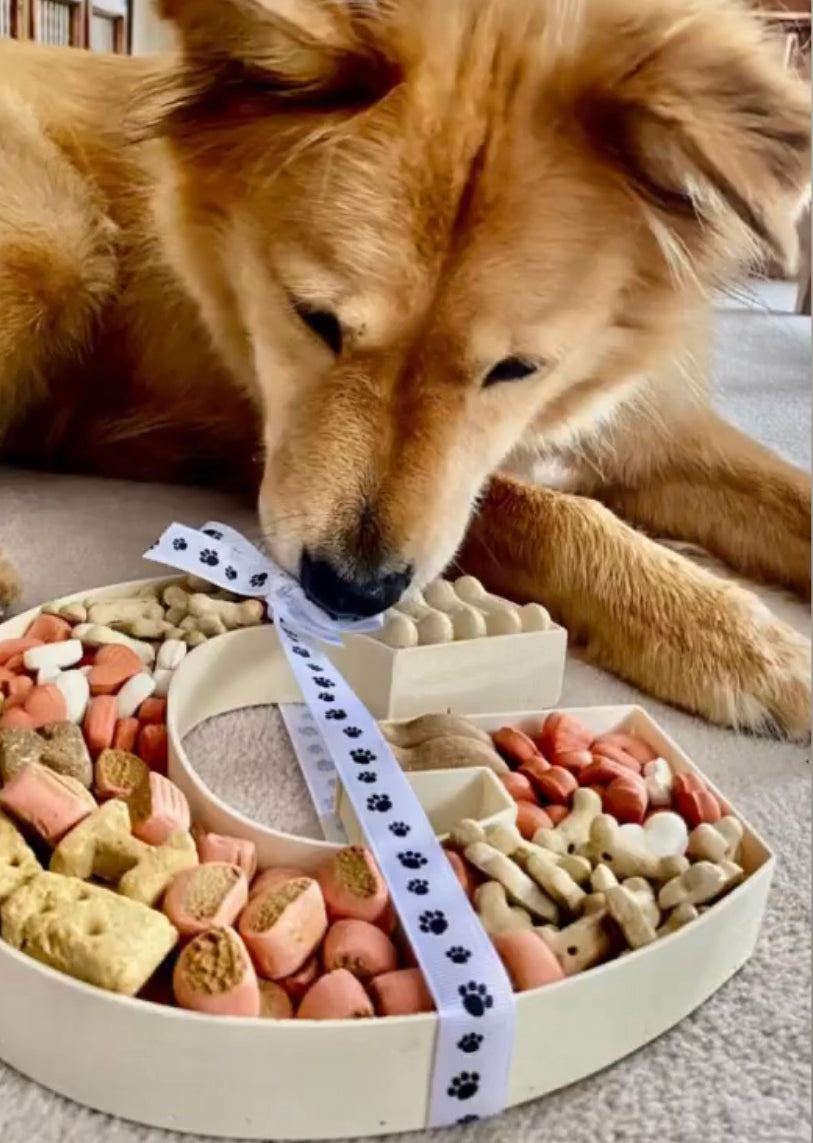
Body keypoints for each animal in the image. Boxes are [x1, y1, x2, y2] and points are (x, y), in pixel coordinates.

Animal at [0, 2, 809, 731]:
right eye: (313, 319)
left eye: (517, 368)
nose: (350, 592)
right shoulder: (259, 445)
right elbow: (547, 513)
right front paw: (740, 643)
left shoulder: (653, 428)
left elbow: (785, 493)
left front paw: (737, 632)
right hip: (61, 243)